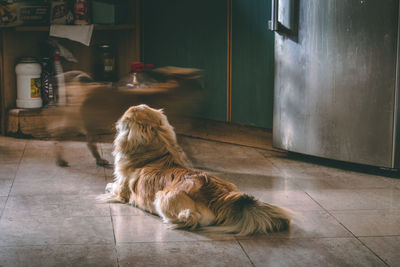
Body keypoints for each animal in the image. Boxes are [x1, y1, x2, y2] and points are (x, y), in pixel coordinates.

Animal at [98, 104, 292, 237]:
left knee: (190, 218)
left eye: (124, 119)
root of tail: (220, 198)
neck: (155, 156)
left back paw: (172, 220)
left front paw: (107, 186)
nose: (116, 123)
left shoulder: (122, 190)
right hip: (231, 185)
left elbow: (112, 186)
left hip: (162, 196)